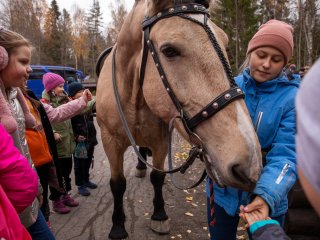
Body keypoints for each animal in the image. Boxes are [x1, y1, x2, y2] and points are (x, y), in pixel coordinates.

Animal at [96, 0, 262, 239]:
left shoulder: (161, 140)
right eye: (169, 50)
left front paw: (159, 215)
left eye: (225, 42)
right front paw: (118, 225)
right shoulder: (110, 141)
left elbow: (157, 177)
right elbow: (117, 184)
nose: (250, 163)